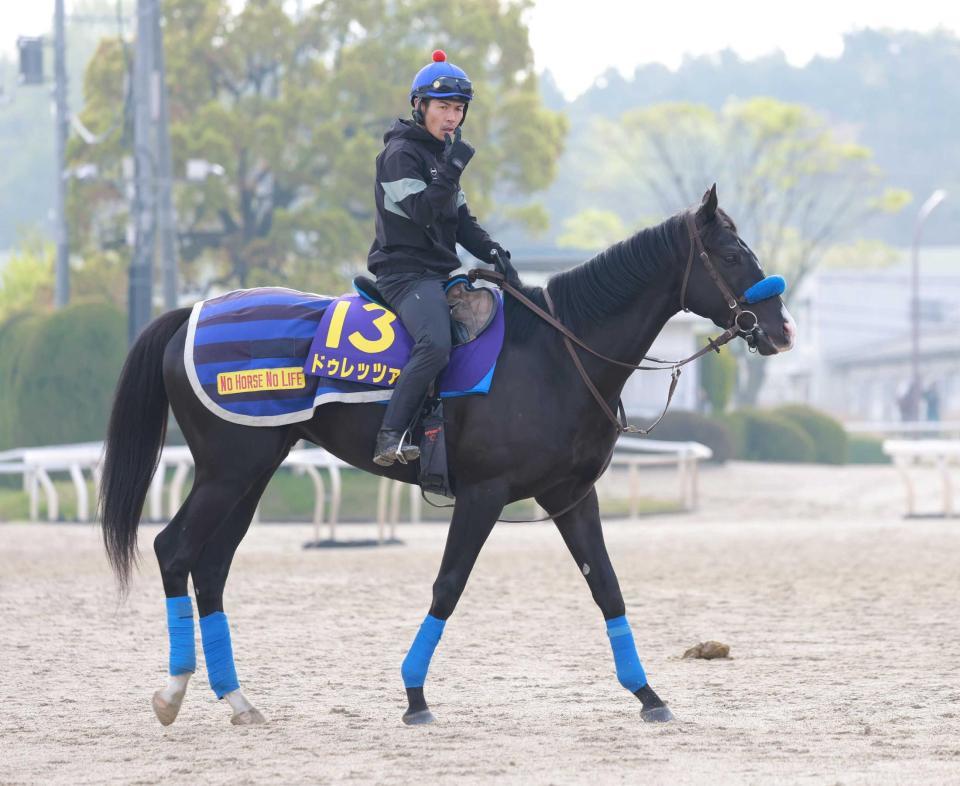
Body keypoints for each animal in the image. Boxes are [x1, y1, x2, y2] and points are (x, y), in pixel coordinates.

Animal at [99, 185, 796, 724]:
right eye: (732, 253)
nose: (781, 328)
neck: (558, 352)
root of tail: (192, 311)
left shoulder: (571, 495)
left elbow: (607, 587)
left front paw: (648, 694)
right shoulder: (484, 494)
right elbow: (448, 585)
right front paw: (414, 694)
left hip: (252, 473)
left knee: (212, 567)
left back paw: (238, 700)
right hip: (228, 470)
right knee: (175, 551)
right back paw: (173, 693)